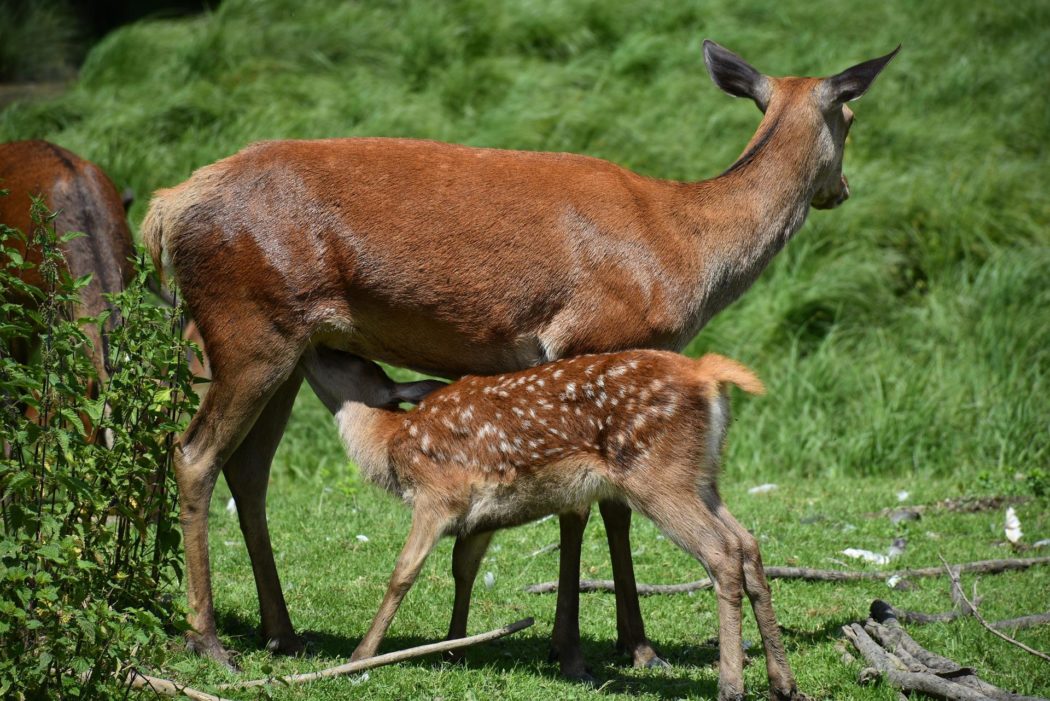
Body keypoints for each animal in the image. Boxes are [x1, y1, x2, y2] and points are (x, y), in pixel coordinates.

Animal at [301, 346, 793, 700]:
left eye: (349, 360)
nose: (313, 346)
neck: (390, 445)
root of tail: (706, 374)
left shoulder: (437, 497)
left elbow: (403, 573)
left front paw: (359, 657)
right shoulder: (479, 519)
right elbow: (463, 571)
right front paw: (453, 647)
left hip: (659, 477)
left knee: (721, 552)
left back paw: (730, 687)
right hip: (701, 479)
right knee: (748, 544)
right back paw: (783, 683)